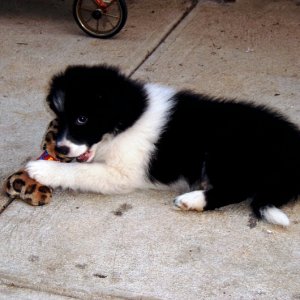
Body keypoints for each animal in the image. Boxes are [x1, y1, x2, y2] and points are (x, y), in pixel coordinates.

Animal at [26, 65, 300, 225]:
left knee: (236, 190)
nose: (60, 150)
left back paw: (193, 200)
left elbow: (80, 171)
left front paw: (42, 170)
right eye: (59, 118)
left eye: (82, 119)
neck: (129, 117)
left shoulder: (122, 174)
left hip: (226, 149)